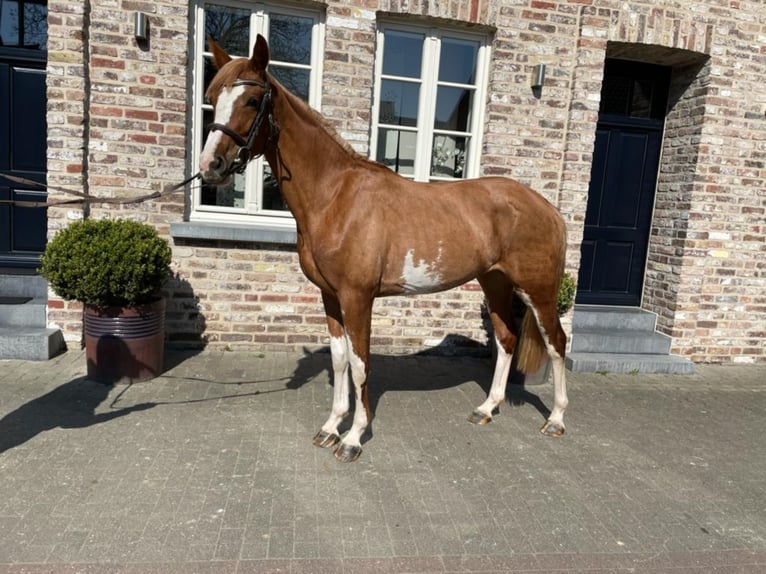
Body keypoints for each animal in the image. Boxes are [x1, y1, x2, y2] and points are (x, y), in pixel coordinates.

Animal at [198, 35, 568, 464]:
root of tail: (548, 208)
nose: (210, 165)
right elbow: (340, 360)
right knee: (507, 340)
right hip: (495, 282)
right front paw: (330, 428)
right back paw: (487, 408)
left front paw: (353, 438)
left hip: (538, 290)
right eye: (211, 97)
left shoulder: (357, 297)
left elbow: (360, 365)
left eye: (253, 101)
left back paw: (556, 419)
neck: (334, 196)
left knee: (557, 344)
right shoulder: (330, 297)